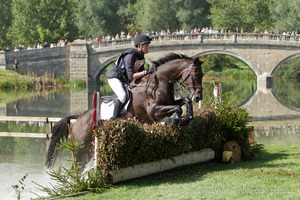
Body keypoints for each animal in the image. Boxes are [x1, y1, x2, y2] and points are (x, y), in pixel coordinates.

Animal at [45, 52, 205, 170]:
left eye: (202, 75)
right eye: (195, 74)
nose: (198, 96)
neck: (159, 81)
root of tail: (78, 118)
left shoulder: (169, 103)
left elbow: (185, 101)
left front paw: (187, 118)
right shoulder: (155, 112)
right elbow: (177, 108)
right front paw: (175, 121)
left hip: (88, 149)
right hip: (81, 146)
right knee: (75, 166)